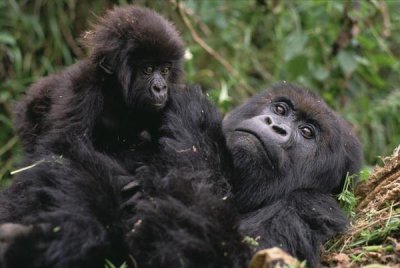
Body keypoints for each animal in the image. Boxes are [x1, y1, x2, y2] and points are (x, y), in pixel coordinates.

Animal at [13, 5, 185, 156]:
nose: (160, 88)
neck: (114, 91)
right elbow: (61, 148)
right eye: (148, 69)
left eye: (165, 70)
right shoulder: (81, 90)